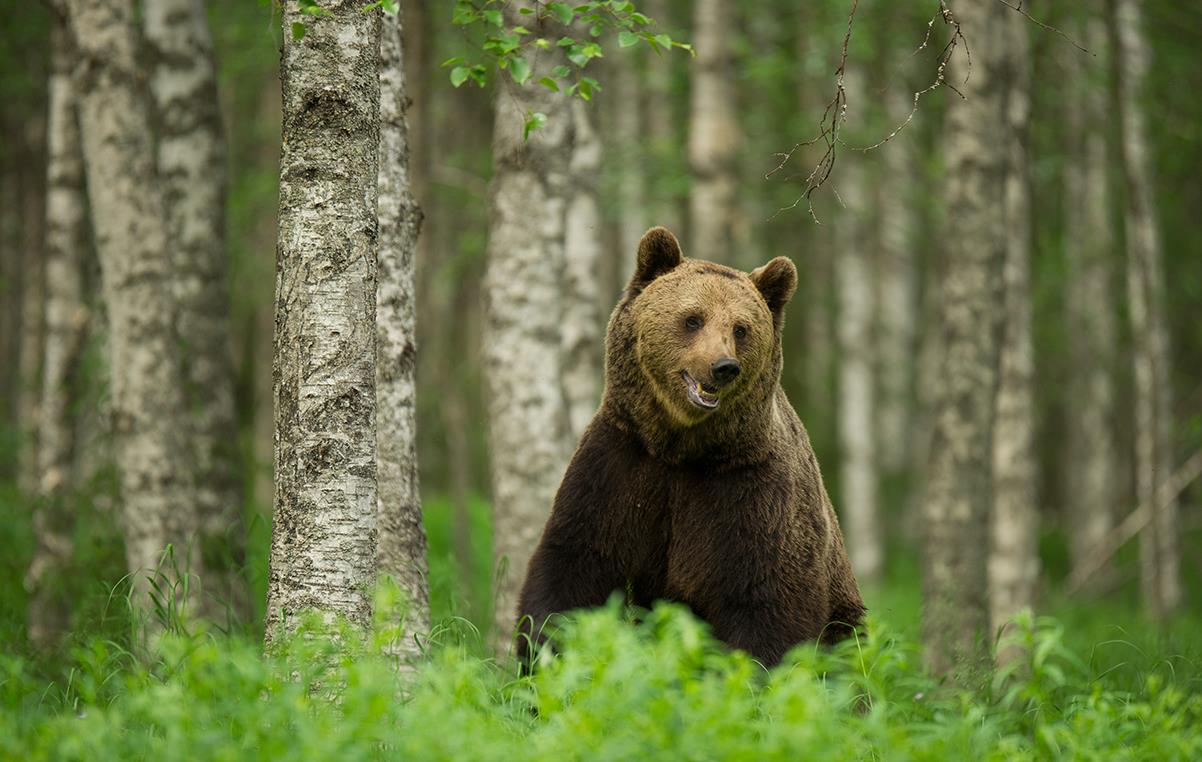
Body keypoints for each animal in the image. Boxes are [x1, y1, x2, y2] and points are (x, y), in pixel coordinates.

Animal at [514, 225, 865, 663]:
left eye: (741, 328)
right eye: (693, 318)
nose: (724, 367)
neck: (681, 447)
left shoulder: (751, 491)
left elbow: (768, 598)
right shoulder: (620, 464)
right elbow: (574, 563)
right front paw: (542, 652)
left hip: (845, 614)